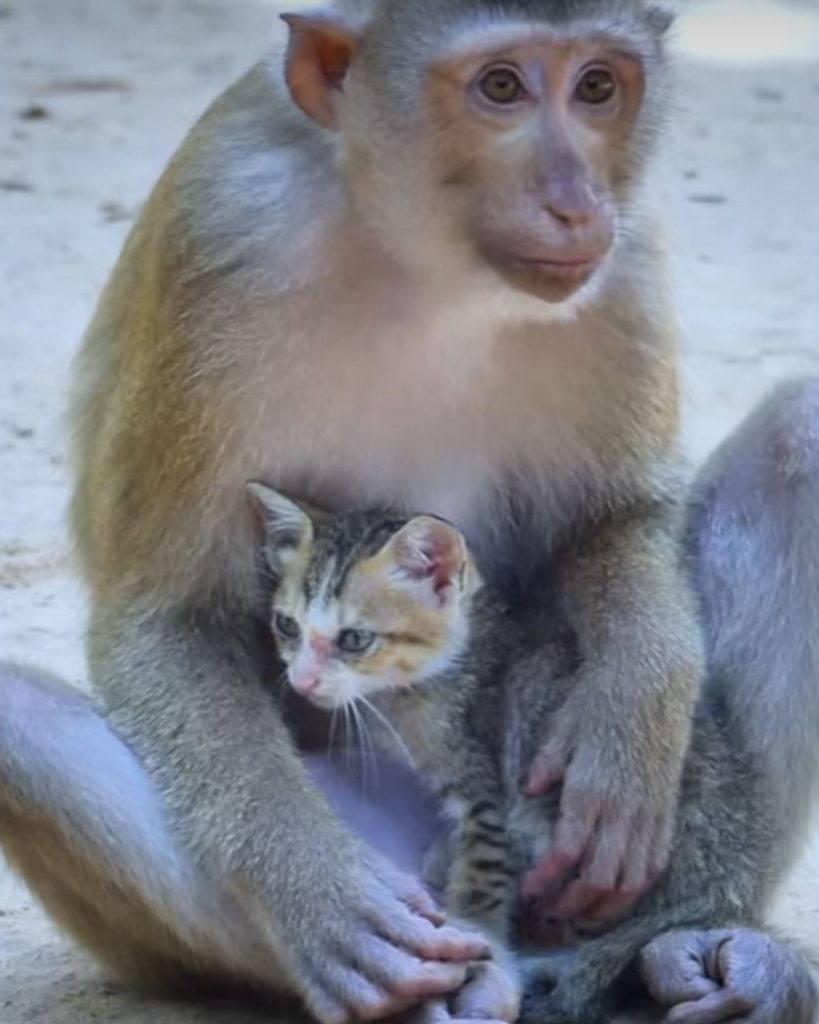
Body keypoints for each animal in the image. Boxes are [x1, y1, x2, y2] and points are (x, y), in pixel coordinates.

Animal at [0, 0, 814, 1019]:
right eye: (499, 86)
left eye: (596, 85)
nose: (577, 203)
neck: (418, 255)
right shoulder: (219, 234)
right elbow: (165, 619)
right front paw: (318, 898)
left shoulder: (620, 260)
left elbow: (611, 518)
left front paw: (630, 728)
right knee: (21, 720)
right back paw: (451, 983)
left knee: (799, 434)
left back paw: (687, 943)